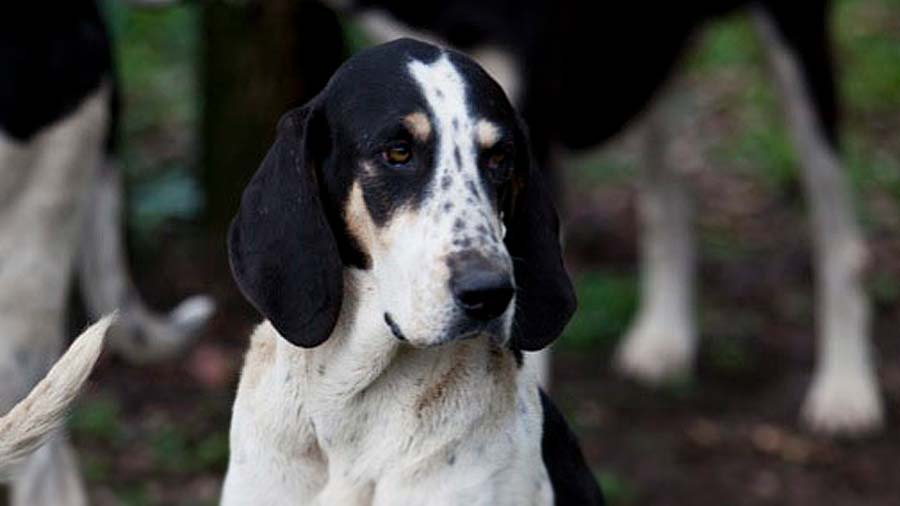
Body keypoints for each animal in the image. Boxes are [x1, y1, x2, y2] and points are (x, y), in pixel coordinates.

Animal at [326, 0, 884, 434]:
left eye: (501, 158)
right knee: (669, 193)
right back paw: (664, 335)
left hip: (796, 46)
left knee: (836, 227)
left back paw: (846, 387)